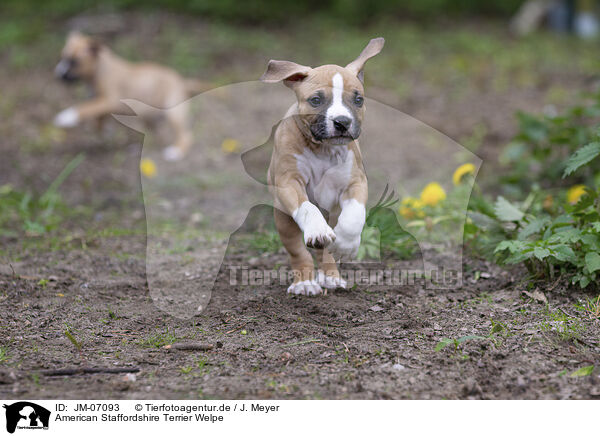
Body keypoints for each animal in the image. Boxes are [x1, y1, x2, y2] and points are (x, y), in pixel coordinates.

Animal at [54, 31, 209, 160]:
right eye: (62, 57)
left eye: (74, 62)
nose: (58, 74)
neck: (101, 68)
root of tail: (182, 81)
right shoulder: (101, 103)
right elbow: (97, 119)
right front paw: (103, 133)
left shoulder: (109, 100)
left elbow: (85, 108)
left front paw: (66, 117)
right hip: (151, 119)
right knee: (158, 137)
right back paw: (138, 149)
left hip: (173, 114)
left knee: (186, 136)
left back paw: (176, 151)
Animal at [262, 37, 384, 296]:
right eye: (316, 100)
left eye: (358, 99)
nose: (342, 122)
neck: (323, 150)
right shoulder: (289, 182)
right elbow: (307, 207)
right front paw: (317, 229)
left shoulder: (355, 182)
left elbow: (355, 213)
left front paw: (347, 244)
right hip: (283, 220)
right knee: (299, 253)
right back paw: (305, 282)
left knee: (326, 252)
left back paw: (331, 277)